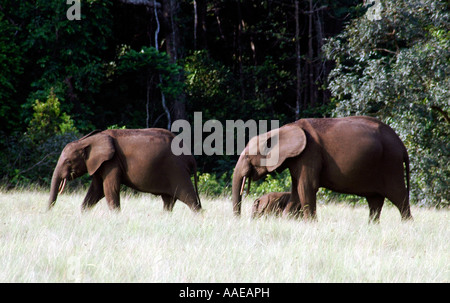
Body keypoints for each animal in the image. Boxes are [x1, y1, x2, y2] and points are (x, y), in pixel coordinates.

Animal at [48, 128, 201, 214]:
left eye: (68, 161)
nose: (49, 213)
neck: (87, 140)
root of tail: (190, 157)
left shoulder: (112, 162)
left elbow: (109, 189)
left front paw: (116, 217)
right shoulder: (100, 164)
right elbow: (97, 190)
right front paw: (83, 213)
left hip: (177, 170)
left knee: (190, 198)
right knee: (168, 201)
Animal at [232, 117, 412, 223]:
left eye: (248, 157)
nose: (238, 220)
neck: (284, 129)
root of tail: (402, 145)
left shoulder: (309, 154)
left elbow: (306, 188)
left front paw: (311, 224)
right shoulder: (298, 159)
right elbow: (296, 190)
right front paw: (287, 221)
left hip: (390, 164)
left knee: (399, 197)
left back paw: (407, 225)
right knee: (375, 201)